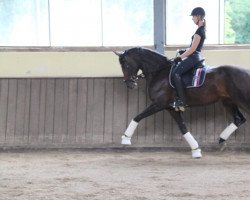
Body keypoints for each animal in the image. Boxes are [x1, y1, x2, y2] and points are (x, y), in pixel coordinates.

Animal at [115, 47, 250, 158]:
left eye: (125, 64)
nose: (130, 84)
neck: (159, 72)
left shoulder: (159, 104)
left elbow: (137, 117)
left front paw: (125, 138)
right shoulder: (171, 108)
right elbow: (183, 127)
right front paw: (196, 150)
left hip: (241, 100)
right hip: (229, 101)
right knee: (239, 119)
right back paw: (221, 140)